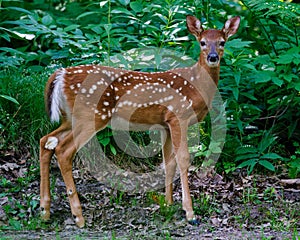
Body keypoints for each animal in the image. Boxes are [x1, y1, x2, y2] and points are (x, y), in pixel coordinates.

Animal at [39, 15, 240, 227]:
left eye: (222, 42)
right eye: (202, 42)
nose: (213, 57)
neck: (196, 85)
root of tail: (61, 75)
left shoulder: (165, 124)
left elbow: (168, 162)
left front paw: (168, 205)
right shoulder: (179, 116)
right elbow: (183, 160)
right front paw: (189, 212)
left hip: (70, 118)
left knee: (46, 142)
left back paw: (45, 211)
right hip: (91, 116)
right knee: (63, 150)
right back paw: (78, 216)